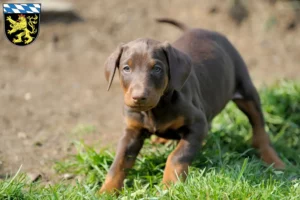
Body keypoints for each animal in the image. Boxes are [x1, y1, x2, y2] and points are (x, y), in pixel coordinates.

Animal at [99, 19, 284, 194]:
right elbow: (119, 163)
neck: (155, 109)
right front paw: (106, 191)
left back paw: (273, 160)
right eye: (126, 68)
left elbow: (177, 156)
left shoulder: (197, 124)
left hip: (245, 90)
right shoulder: (132, 130)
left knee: (258, 127)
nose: (139, 97)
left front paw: (170, 185)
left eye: (157, 68)